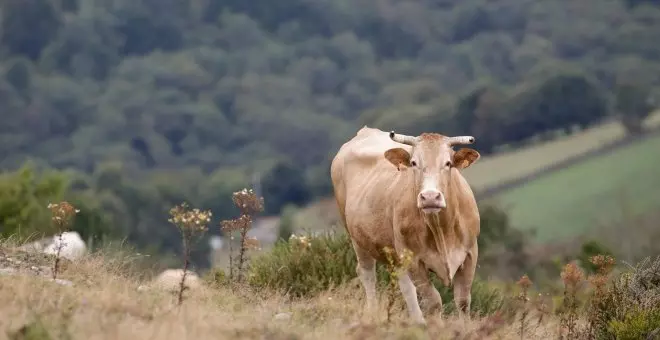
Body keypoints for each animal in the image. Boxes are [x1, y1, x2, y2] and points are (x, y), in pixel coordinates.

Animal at [328, 125, 480, 324]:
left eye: (448, 163)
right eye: (414, 163)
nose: (430, 197)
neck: (441, 230)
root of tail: (366, 131)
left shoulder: (470, 253)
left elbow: (462, 301)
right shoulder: (414, 259)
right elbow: (433, 301)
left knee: (405, 285)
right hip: (358, 239)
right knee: (368, 274)